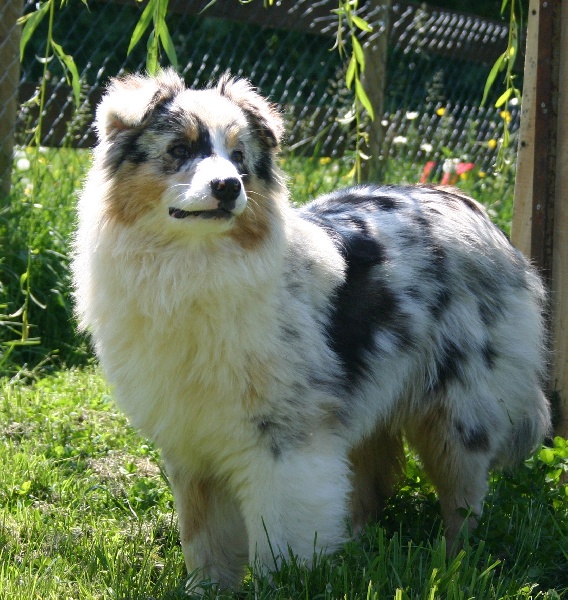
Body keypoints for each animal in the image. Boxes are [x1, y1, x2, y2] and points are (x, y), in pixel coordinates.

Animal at [71, 68, 552, 588]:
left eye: (239, 158)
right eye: (179, 149)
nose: (228, 187)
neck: (193, 266)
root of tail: (474, 209)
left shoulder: (283, 439)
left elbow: (279, 531)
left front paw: (280, 584)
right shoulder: (189, 439)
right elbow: (203, 535)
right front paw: (207, 589)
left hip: (457, 412)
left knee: (463, 500)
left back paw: (452, 564)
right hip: (372, 397)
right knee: (372, 482)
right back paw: (358, 549)